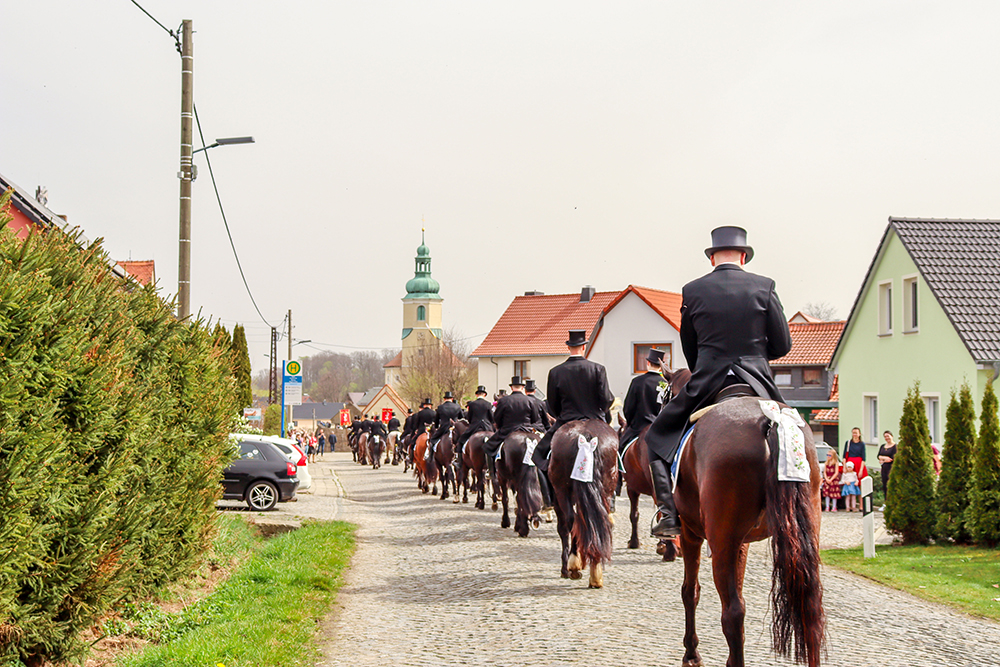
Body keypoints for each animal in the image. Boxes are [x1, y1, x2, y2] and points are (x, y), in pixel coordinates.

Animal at [547, 419, 618, 588]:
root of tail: (587, 435)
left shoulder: (558, 498)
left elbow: (566, 528)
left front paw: (569, 566)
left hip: (561, 490)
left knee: (570, 521)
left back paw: (573, 566)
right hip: (605, 490)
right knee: (601, 521)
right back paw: (595, 573)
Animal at [674, 396, 824, 667]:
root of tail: (771, 419)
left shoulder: (691, 534)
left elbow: (690, 591)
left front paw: (691, 653)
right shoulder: (740, 543)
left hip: (721, 542)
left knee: (732, 612)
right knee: (811, 609)